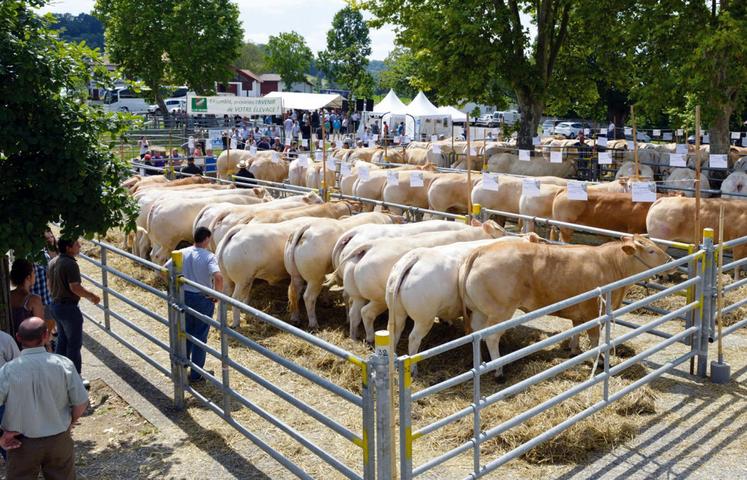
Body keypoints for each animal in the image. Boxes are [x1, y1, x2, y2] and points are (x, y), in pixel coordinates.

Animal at [342, 221, 506, 342]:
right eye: (501, 233)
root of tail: (369, 246)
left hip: (359, 295)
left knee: (355, 312)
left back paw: (354, 337)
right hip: (380, 299)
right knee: (367, 313)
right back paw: (369, 338)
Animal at [458, 236, 676, 378]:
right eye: (651, 251)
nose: (671, 261)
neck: (610, 264)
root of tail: (481, 251)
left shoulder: (579, 312)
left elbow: (576, 330)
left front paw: (574, 351)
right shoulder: (594, 313)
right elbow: (595, 339)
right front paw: (599, 361)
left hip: (478, 311)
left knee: (477, 334)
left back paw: (480, 364)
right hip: (501, 311)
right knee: (491, 337)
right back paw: (499, 370)